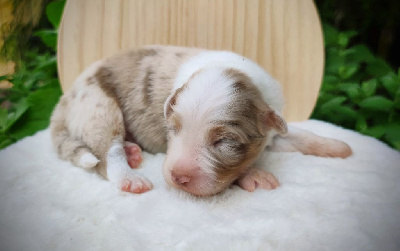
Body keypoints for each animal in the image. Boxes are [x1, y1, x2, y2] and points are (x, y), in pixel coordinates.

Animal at [49, 46, 350, 197]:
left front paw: (336, 146)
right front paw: (254, 175)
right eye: (172, 129)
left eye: (225, 141)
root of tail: (63, 101)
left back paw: (132, 150)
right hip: (97, 106)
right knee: (105, 154)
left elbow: (299, 136)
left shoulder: (272, 128)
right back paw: (129, 176)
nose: (178, 177)